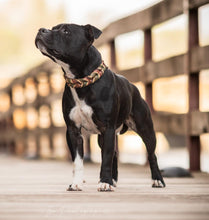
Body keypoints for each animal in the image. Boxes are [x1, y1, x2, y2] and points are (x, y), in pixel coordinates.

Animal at [35, 22, 165, 191]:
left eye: (66, 31)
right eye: (53, 28)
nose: (41, 30)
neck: (82, 81)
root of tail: (133, 87)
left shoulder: (107, 128)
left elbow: (106, 158)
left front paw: (105, 182)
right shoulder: (74, 131)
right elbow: (78, 162)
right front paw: (77, 183)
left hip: (145, 129)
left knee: (151, 154)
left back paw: (157, 180)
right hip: (103, 136)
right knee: (115, 154)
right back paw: (114, 180)